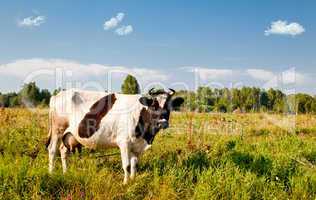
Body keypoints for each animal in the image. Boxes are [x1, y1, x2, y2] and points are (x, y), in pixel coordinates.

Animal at [45, 87, 184, 183]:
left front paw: (133, 180)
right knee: (52, 150)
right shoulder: (124, 142)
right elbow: (126, 165)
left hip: (69, 134)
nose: (163, 123)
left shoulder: (137, 146)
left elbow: (134, 164)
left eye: (169, 107)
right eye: (154, 106)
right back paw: (51, 173)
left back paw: (65, 172)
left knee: (63, 151)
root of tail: (57, 95)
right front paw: (125, 183)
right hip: (58, 130)